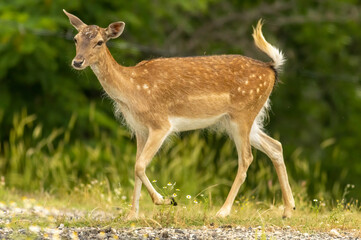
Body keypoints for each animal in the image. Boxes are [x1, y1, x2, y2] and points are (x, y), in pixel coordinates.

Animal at [64, 9, 296, 219]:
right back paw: (288, 210)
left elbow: (139, 166)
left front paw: (166, 200)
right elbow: (135, 167)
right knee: (275, 146)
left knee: (247, 158)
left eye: (100, 42)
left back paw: (223, 211)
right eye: (75, 39)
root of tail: (271, 68)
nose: (77, 62)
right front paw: (132, 215)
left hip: (243, 114)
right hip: (241, 120)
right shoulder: (139, 129)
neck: (132, 90)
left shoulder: (161, 124)